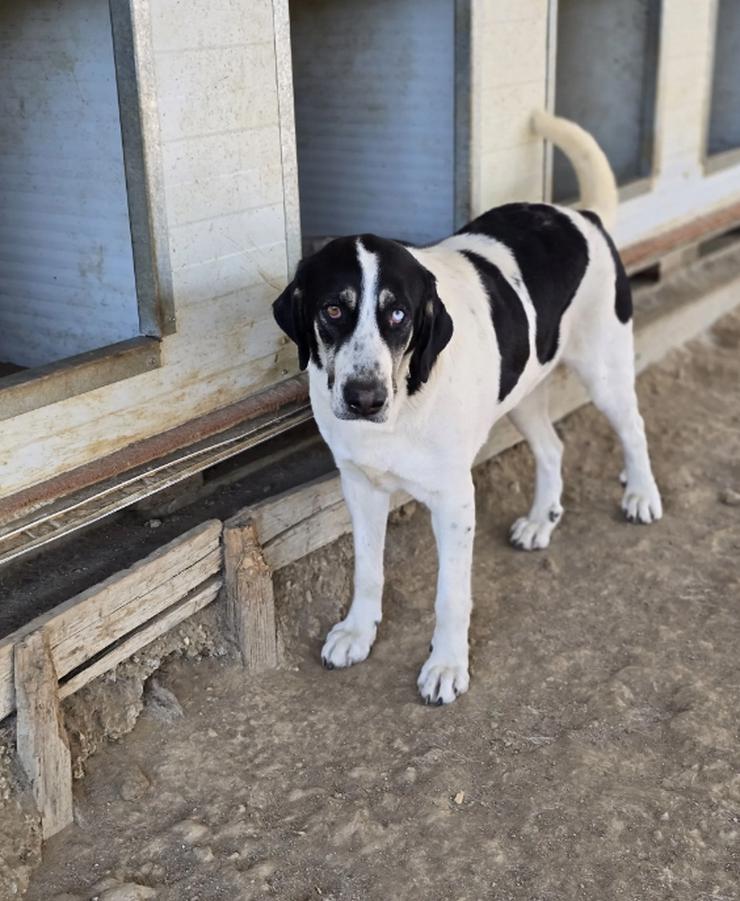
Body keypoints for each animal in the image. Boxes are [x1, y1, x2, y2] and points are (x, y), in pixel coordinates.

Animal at [270, 190, 660, 704]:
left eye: (398, 314)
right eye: (333, 310)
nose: (365, 399)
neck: (405, 396)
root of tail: (579, 215)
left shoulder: (454, 501)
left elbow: (451, 594)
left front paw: (447, 664)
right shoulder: (360, 487)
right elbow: (367, 569)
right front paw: (357, 631)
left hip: (603, 371)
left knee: (633, 427)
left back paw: (641, 495)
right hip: (523, 392)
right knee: (552, 449)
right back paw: (542, 520)